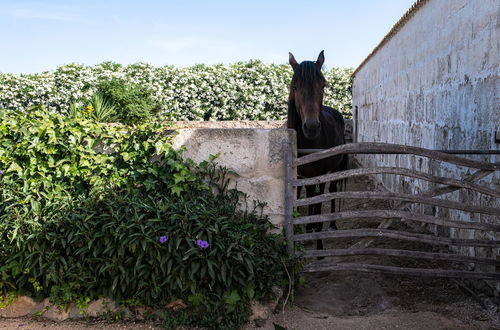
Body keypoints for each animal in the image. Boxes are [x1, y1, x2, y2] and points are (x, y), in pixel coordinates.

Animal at [290, 51, 348, 250]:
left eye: (323, 85)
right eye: (295, 86)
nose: (312, 127)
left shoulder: (321, 175)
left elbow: (319, 205)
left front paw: (319, 246)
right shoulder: (301, 176)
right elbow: (306, 200)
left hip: (336, 169)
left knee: (332, 192)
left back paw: (332, 224)